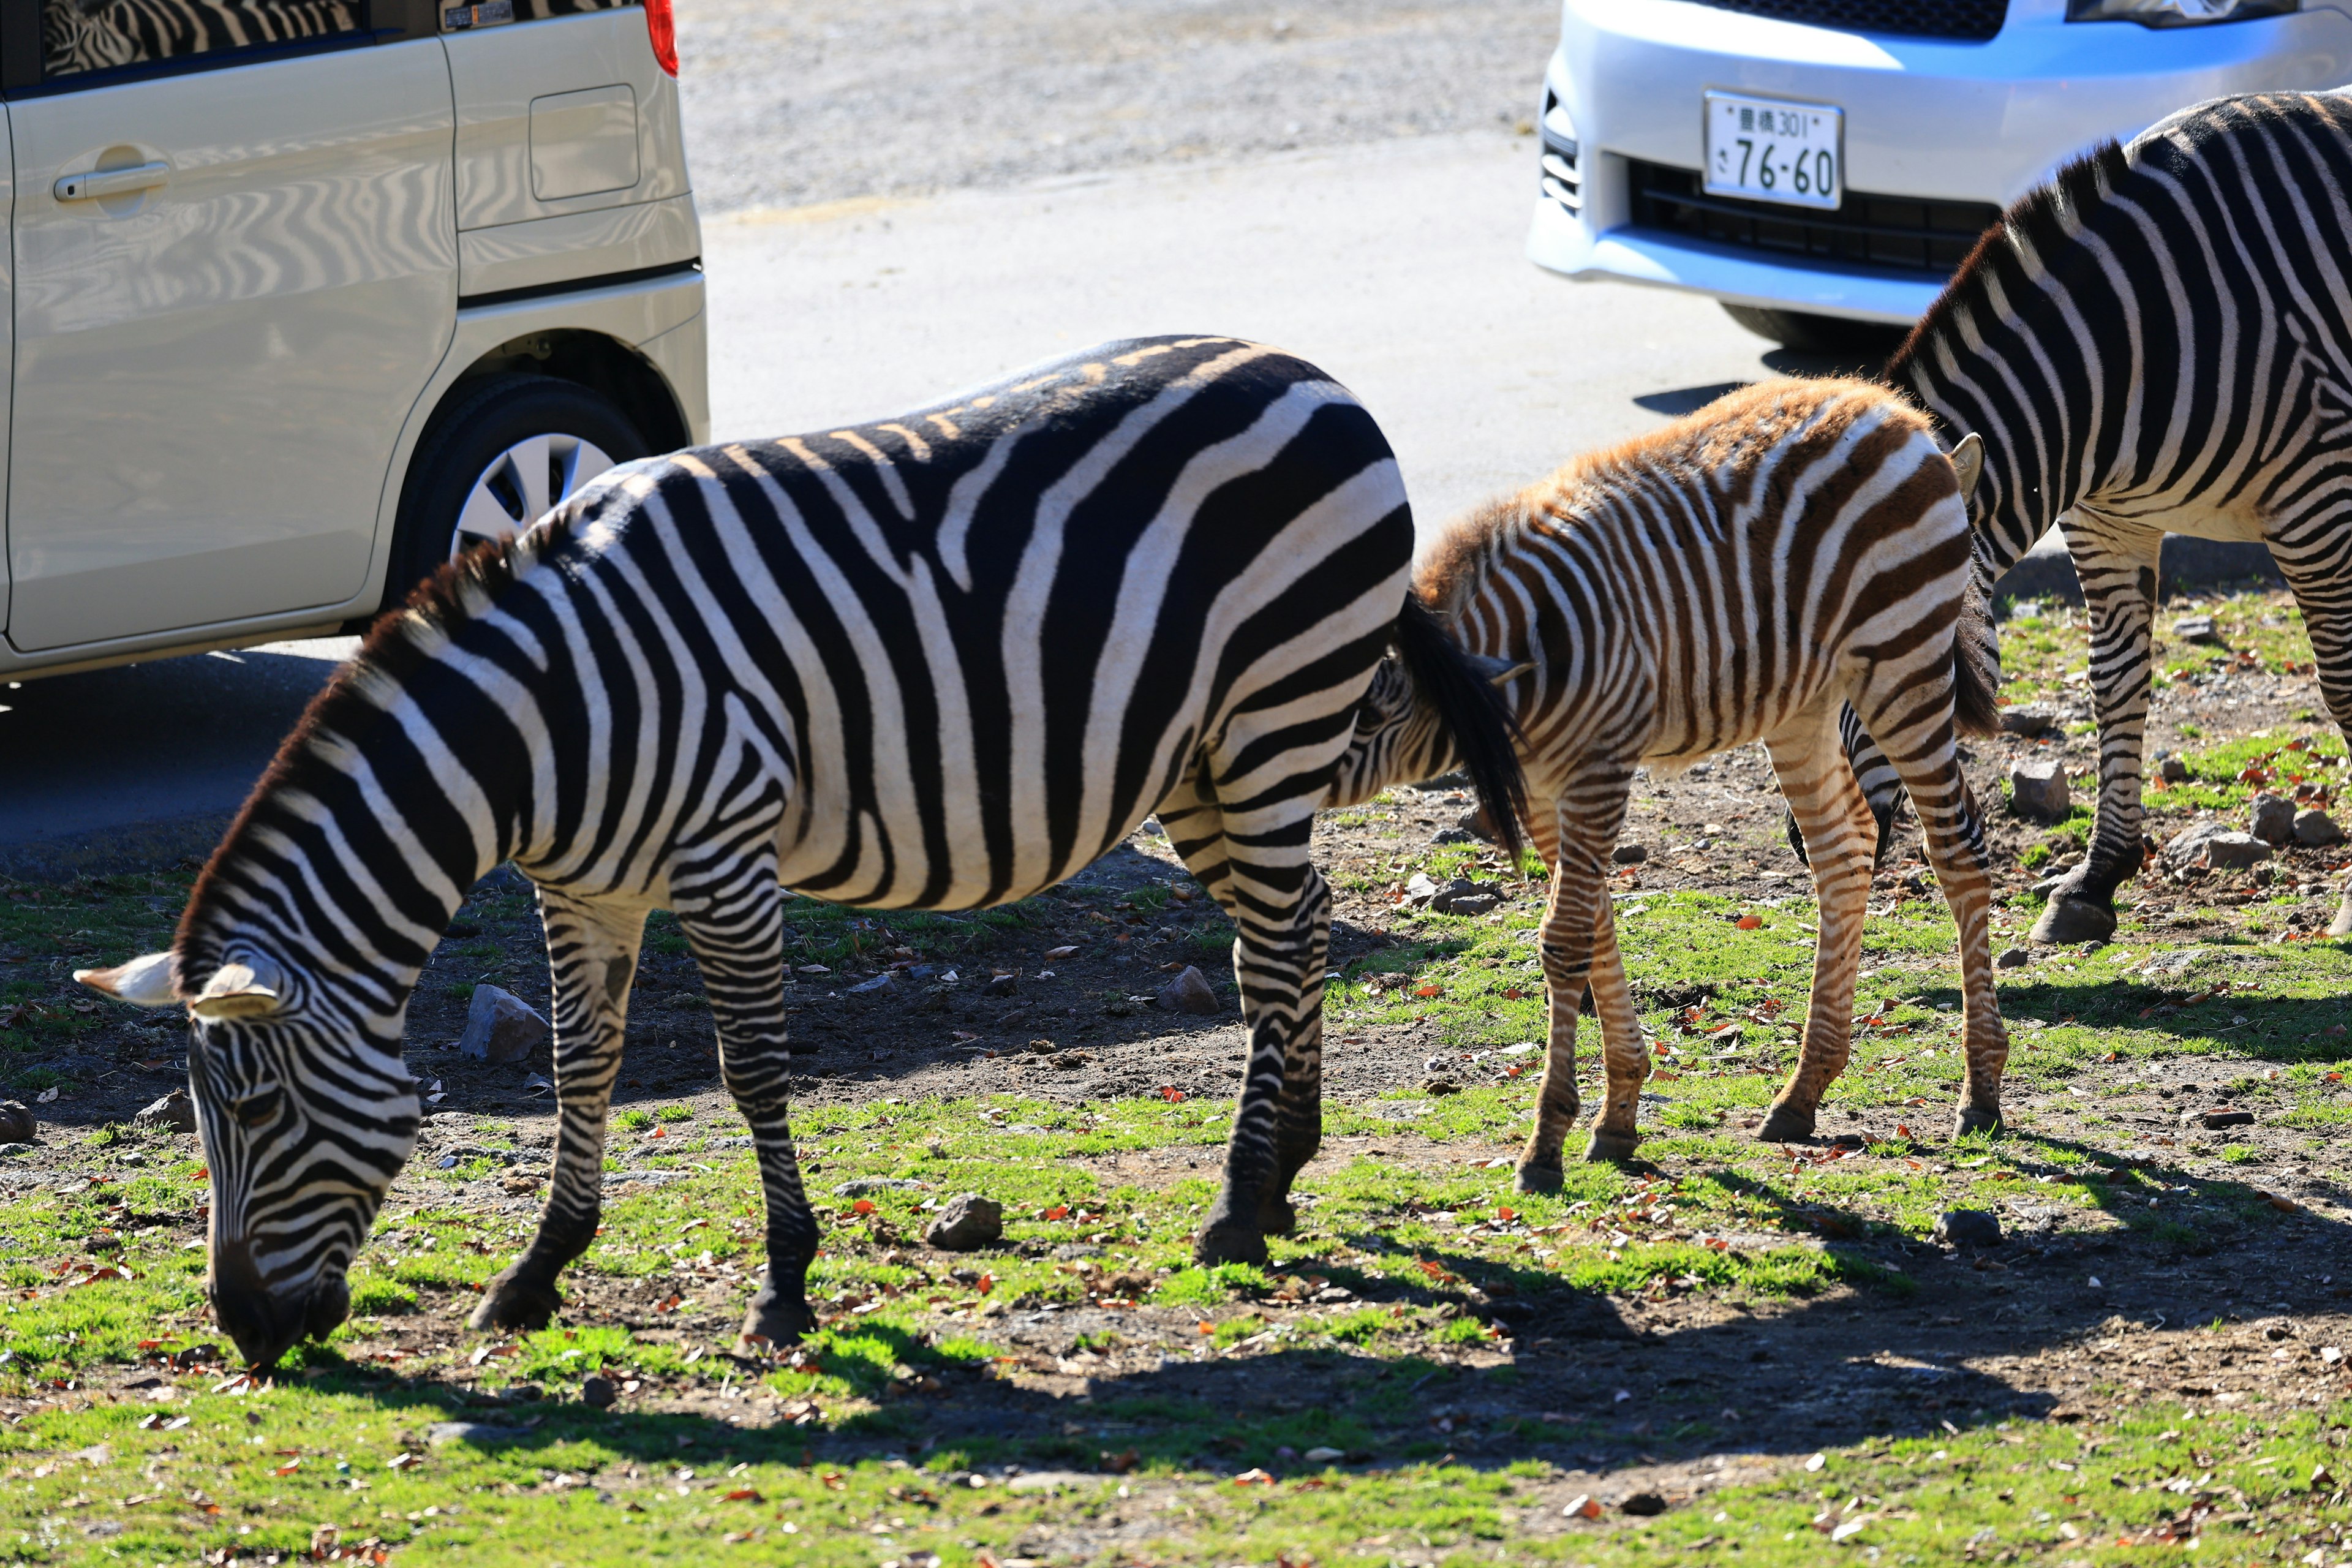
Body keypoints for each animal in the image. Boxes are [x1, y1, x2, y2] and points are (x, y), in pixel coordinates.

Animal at [74, 338, 1524, 1363]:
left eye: (256, 1112)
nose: (244, 1336)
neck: (542, 723)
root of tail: (1313, 373)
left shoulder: (726, 860)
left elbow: (753, 1069)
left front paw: (781, 1282)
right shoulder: (584, 891)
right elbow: (580, 1064)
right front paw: (538, 1274)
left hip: (1276, 715)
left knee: (1275, 949)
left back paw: (1238, 1202)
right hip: (1205, 763)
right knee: (1301, 924)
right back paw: (1284, 1177)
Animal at [1336, 376, 1994, 1175]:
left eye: (1371, 717)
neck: (1530, 651)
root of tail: (1896, 412)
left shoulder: (1599, 770)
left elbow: (1565, 941)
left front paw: (1546, 1142)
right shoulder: (1551, 786)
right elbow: (1591, 930)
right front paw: (1618, 1115)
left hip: (1904, 665)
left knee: (1958, 849)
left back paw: (1982, 1094)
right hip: (1803, 703)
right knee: (1844, 851)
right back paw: (1801, 1093)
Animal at [1834, 95, 2352, 944]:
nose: (1815, 844)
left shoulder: (2318, 507)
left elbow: (2341, 686)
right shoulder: (2106, 523)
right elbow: (2116, 685)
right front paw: (2095, 881)